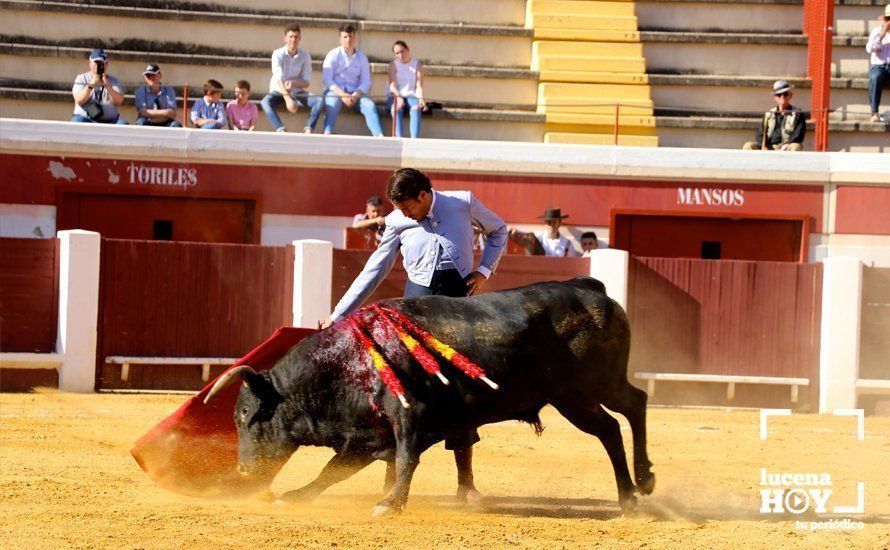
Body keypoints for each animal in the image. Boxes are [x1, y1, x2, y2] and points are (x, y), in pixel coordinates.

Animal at [205, 280, 656, 516]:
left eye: (244, 414)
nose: (242, 471)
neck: (346, 363)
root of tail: (590, 288)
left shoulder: (409, 416)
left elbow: (406, 460)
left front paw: (390, 505)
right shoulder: (366, 436)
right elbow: (333, 472)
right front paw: (296, 496)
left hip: (599, 382)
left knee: (634, 403)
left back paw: (645, 479)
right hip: (571, 397)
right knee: (609, 429)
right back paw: (627, 497)